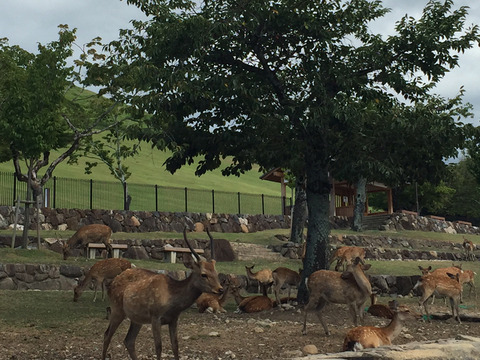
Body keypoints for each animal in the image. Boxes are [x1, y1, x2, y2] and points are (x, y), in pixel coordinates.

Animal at [102, 228, 222, 360]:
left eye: (216, 272)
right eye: (203, 274)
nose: (220, 289)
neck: (172, 302)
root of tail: (111, 283)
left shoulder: (174, 319)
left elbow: (175, 345)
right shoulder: (155, 316)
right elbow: (158, 347)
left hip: (136, 318)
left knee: (129, 340)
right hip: (117, 309)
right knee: (107, 335)